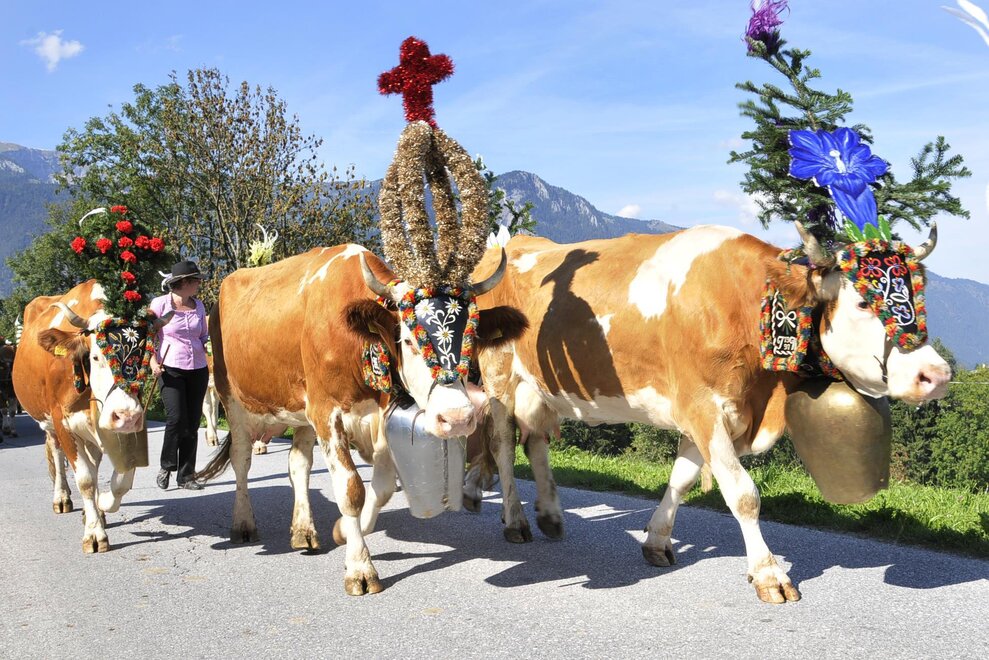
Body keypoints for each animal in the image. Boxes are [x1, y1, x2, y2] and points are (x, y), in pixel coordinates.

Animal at [13, 280, 164, 552]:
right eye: (95, 357)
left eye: (144, 359)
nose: (126, 415)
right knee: (57, 454)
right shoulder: (63, 422)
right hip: (49, 424)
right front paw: (94, 534)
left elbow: (121, 480)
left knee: (93, 464)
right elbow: (84, 478)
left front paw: (102, 504)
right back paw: (62, 498)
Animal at [467, 223, 950, 604]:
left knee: (536, 440)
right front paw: (769, 574)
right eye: (863, 303)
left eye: (920, 296)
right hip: (499, 376)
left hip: (539, 387)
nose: (936, 374)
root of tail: (505, 245)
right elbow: (743, 494)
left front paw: (657, 540)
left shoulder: (706, 413)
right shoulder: (703, 406)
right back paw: (515, 520)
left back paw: (550, 515)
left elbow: (682, 478)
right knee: (502, 446)